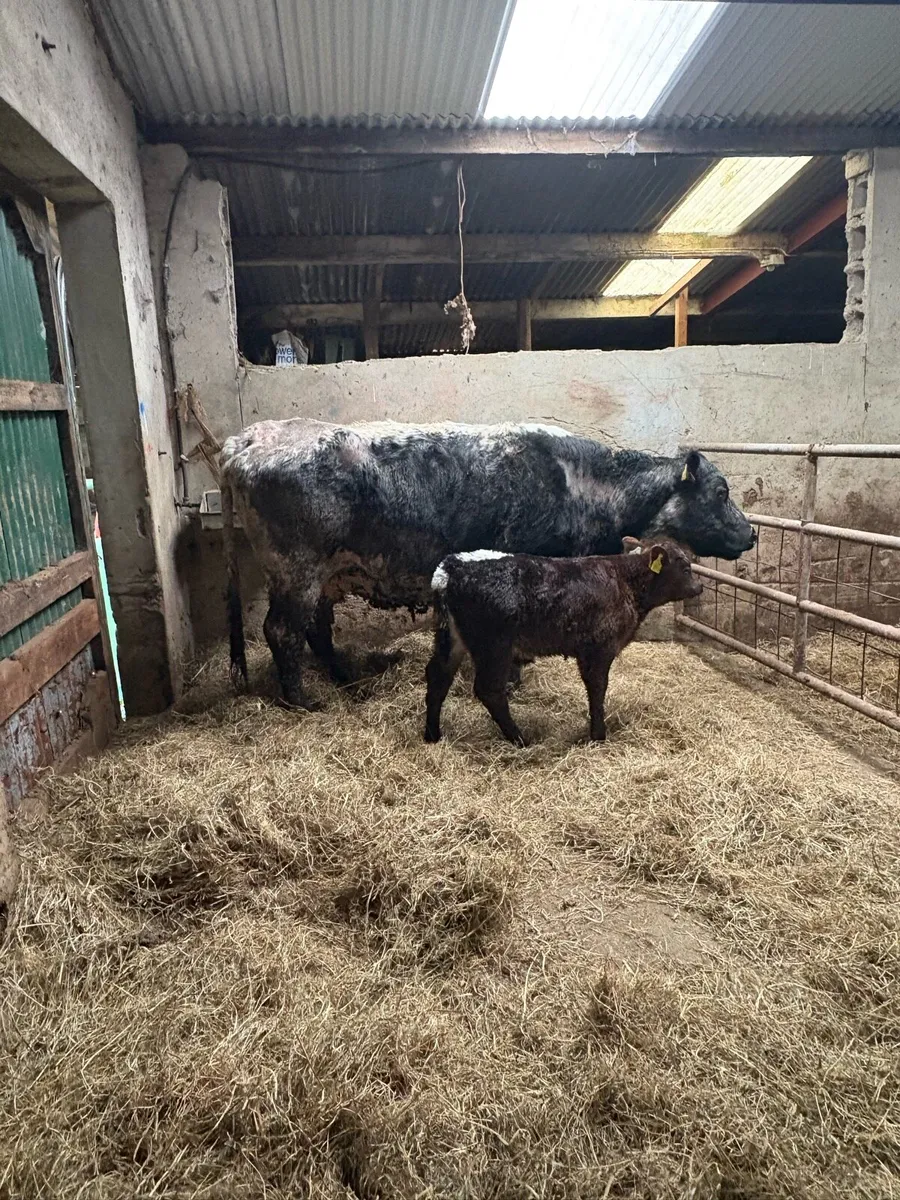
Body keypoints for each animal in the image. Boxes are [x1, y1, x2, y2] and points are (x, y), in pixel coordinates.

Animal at [220, 419, 754, 710]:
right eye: (721, 492)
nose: (752, 533)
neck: (579, 482)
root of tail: (247, 439)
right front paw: (512, 680)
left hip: (324, 576)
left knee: (315, 630)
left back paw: (344, 677)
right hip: (297, 570)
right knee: (282, 632)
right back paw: (302, 700)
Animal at [424, 539, 703, 746]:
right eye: (685, 568)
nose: (699, 587)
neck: (625, 580)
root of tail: (453, 566)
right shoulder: (600, 648)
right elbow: (598, 689)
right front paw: (598, 735)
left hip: (452, 639)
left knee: (438, 676)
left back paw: (432, 735)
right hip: (494, 646)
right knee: (489, 690)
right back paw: (520, 739)